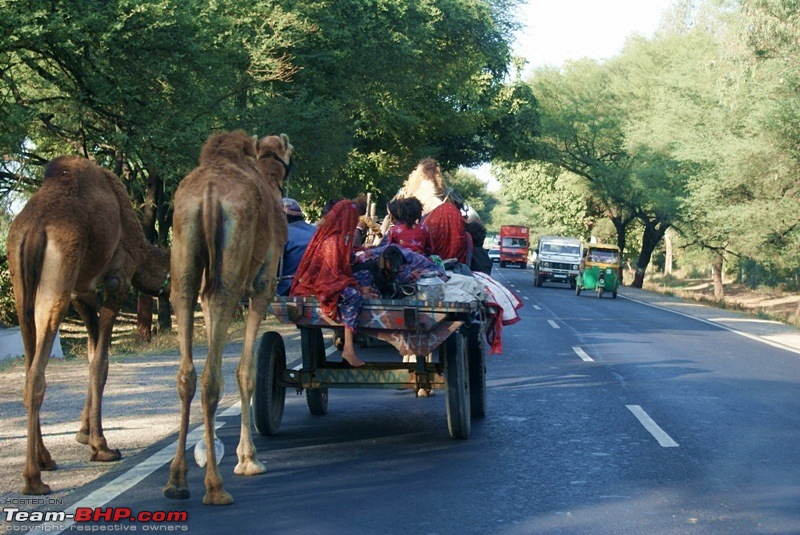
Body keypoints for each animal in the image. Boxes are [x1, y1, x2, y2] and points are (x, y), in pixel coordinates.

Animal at [5, 157, 170, 496]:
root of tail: (33, 230)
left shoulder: (81, 292)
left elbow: (93, 355)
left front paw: (83, 433)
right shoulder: (118, 280)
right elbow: (101, 364)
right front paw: (101, 446)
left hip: (22, 288)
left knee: (29, 367)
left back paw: (45, 459)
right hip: (56, 283)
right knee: (37, 375)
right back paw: (34, 480)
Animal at [162, 130, 290, 506]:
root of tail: (208, 193)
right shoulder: (263, 286)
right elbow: (246, 371)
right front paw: (248, 459)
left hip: (184, 249)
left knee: (188, 370)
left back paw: (177, 481)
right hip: (234, 269)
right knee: (212, 375)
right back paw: (215, 487)